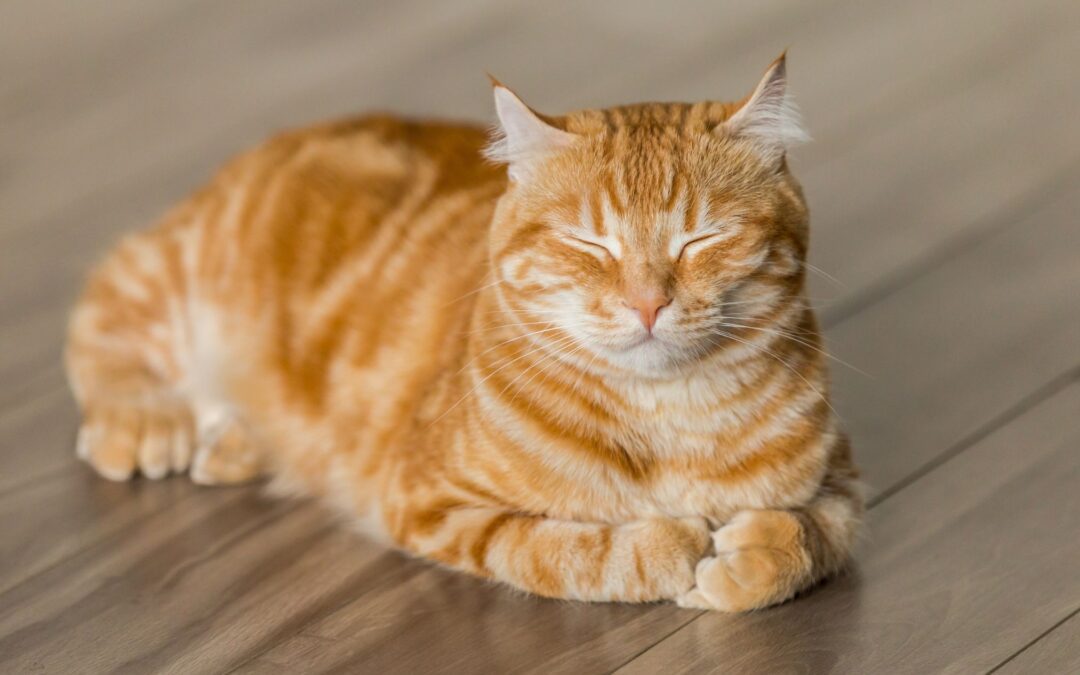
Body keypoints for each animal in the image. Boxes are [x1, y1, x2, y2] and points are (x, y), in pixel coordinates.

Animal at [65, 55, 859, 609]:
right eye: (589, 243)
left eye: (703, 238)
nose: (646, 303)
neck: (668, 420)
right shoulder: (435, 503)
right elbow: (570, 550)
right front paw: (673, 545)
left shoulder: (843, 482)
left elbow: (812, 536)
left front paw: (749, 558)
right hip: (176, 275)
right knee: (102, 313)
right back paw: (147, 420)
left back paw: (234, 443)